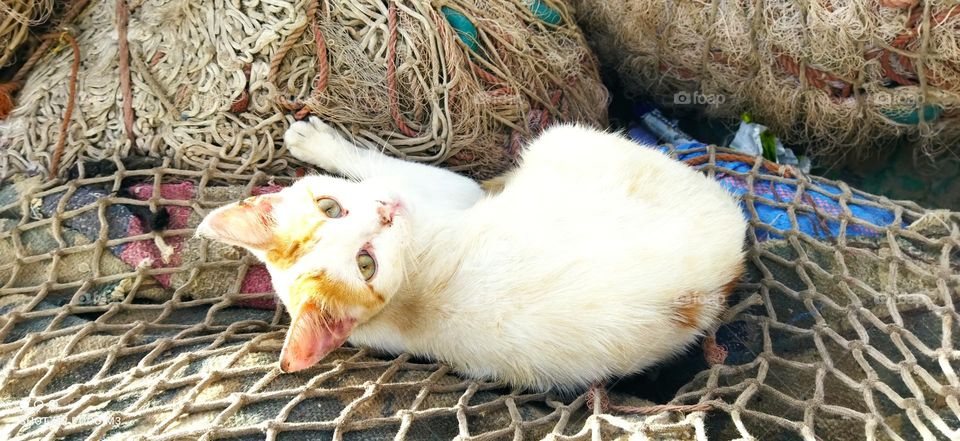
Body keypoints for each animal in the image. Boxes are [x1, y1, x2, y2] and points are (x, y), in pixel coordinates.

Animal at [197, 117, 752, 388]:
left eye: (329, 207)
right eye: (366, 264)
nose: (386, 210)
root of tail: (719, 278)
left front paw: (315, 144)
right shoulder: (449, 192)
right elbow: (379, 161)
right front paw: (323, 143)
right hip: (565, 139)